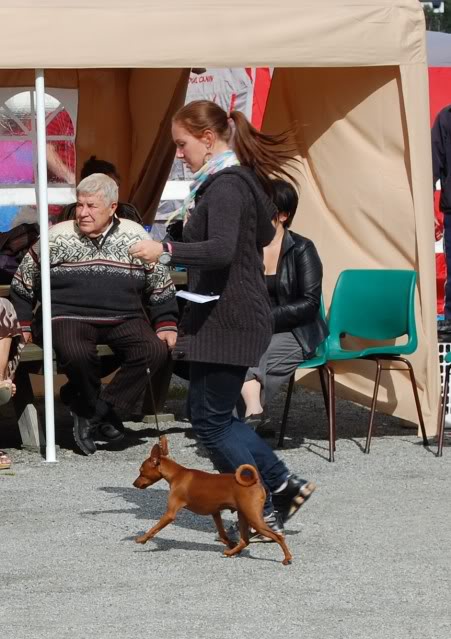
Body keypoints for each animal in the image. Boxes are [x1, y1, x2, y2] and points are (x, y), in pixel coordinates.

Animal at [132, 436, 294, 564]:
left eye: (141, 471)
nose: (134, 484)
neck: (177, 474)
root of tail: (254, 481)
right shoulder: (215, 513)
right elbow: (223, 535)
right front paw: (230, 544)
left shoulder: (170, 514)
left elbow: (154, 528)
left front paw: (142, 539)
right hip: (243, 515)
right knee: (245, 540)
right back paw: (231, 552)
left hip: (253, 518)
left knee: (278, 537)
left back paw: (287, 558)